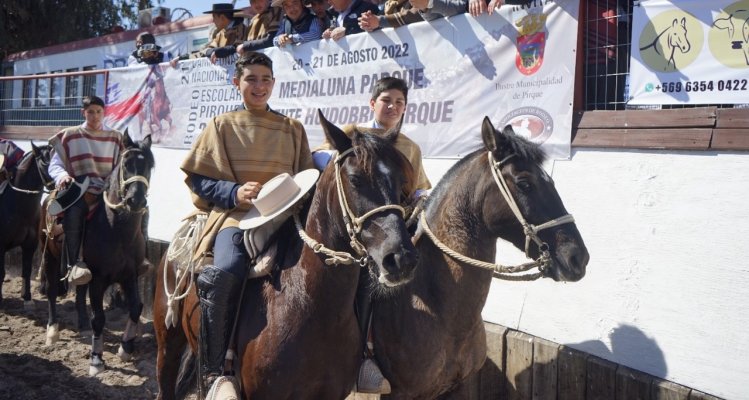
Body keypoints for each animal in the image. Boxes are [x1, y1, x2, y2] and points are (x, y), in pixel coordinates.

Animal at [0, 142, 53, 308]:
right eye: (44, 162)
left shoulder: (30, 244)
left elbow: (27, 270)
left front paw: (27, 298)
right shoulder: (1, 245)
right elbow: (2, 273)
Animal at [42, 133, 153, 376]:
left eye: (150, 165)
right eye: (126, 163)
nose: (136, 200)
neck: (117, 231)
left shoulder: (130, 275)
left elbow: (136, 308)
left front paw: (125, 348)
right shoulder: (99, 279)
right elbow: (99, 318)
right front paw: (96, 359)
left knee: (79, 292)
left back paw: (82, 325)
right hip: (50, 257)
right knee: (53, 292)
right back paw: (52, 331)